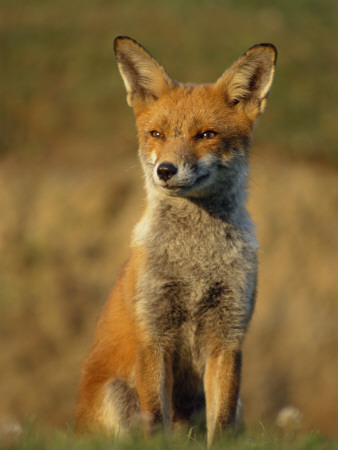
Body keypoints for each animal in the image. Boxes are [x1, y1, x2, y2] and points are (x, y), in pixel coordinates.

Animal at [76, 37, 278, 444]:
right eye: (157, 134)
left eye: (207, 135)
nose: (165, 170)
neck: (195, 265)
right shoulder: (153, 335)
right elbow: (155, 420)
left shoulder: (228, 337)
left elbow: (222, 424)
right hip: (116, 395)